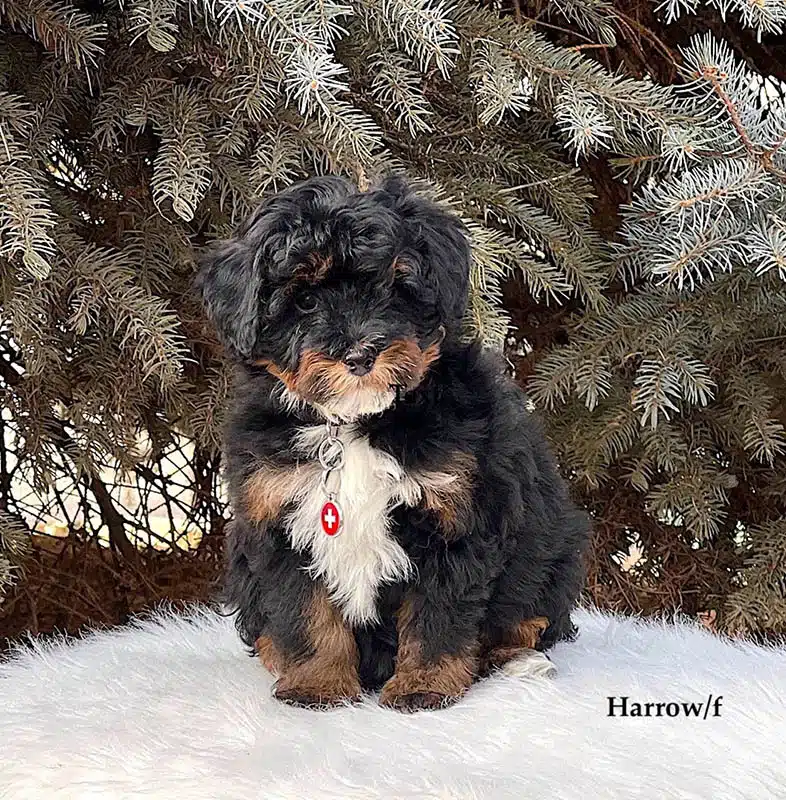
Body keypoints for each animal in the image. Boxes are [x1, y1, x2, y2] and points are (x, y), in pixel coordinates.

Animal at [196, 177, 588, 712]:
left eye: (394, 289)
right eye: (305, 301)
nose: (361, 355)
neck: (354, 425)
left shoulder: (457, 513)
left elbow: (437, 613)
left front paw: (425, 684)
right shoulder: (276, 514)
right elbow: (305, 611)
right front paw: (316, 684)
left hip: (553, 550)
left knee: (529, 617)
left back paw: (515, 660)